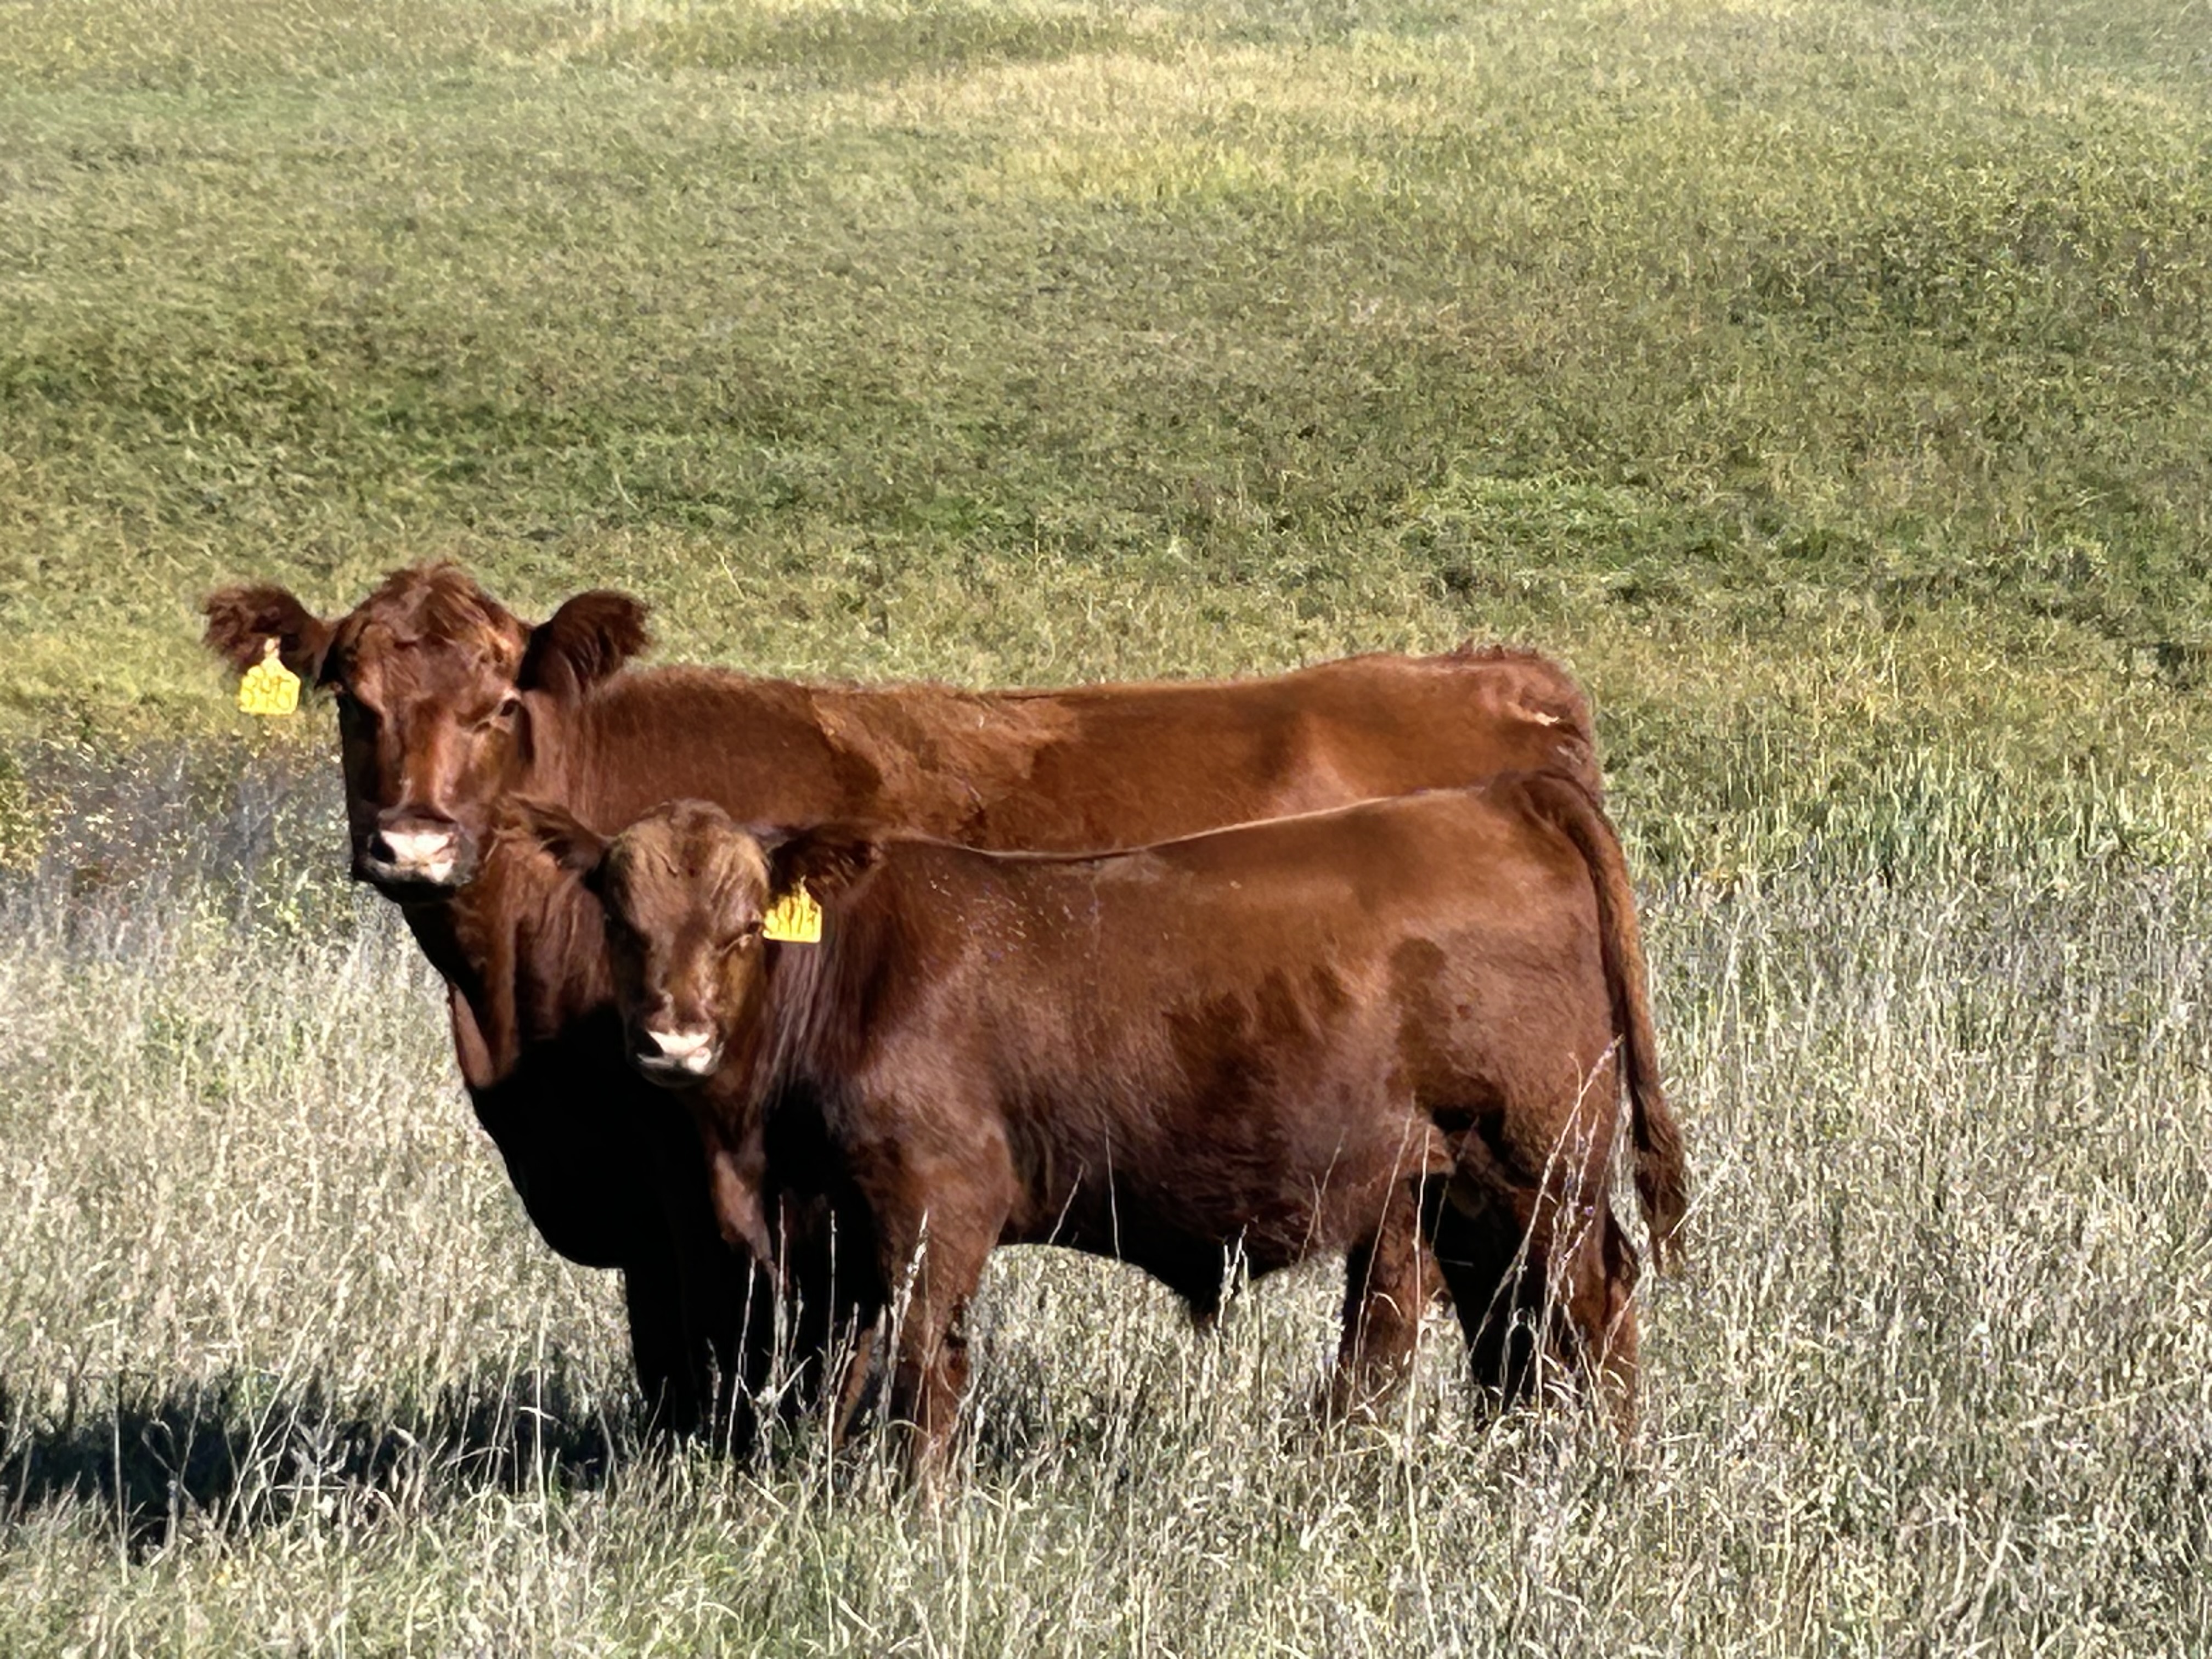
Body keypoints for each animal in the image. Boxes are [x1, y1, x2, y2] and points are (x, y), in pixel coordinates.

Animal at [512, 776, 1684, 1476]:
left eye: (746, 927)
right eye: (619, 921)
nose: (672, 1039)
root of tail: (1496, 795)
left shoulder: (937, 1199)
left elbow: (922, 1359)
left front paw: (912, 1504)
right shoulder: (832, 1224)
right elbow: (833, 1361)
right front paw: (815, 1482)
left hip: (1540, 1160)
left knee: (1593, 1296)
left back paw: (1602, 1469)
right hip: (1456, 1182)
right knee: (1490, 1323)